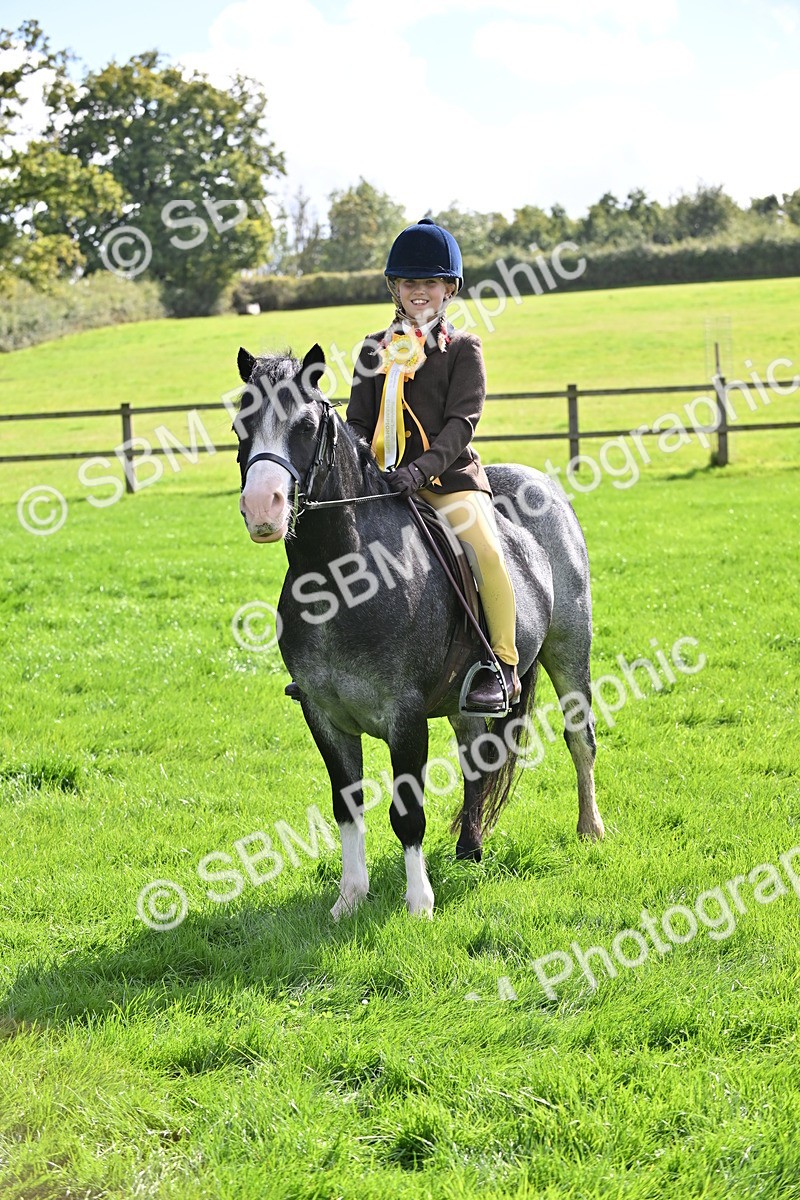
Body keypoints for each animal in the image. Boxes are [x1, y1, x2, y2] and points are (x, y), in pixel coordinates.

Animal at [234, 343, 604, 919]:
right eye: (240, 425)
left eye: (306, 424)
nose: (261, 507)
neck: (342, 579)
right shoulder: (324, 716)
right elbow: (347, 806)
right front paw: (350, 898)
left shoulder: (405, 717)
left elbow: (407, 811)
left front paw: (418, 904)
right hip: (463, 698)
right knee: (479, 757)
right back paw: (470, 849)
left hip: (569, 651)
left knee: (579, 738)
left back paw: (590, 830)